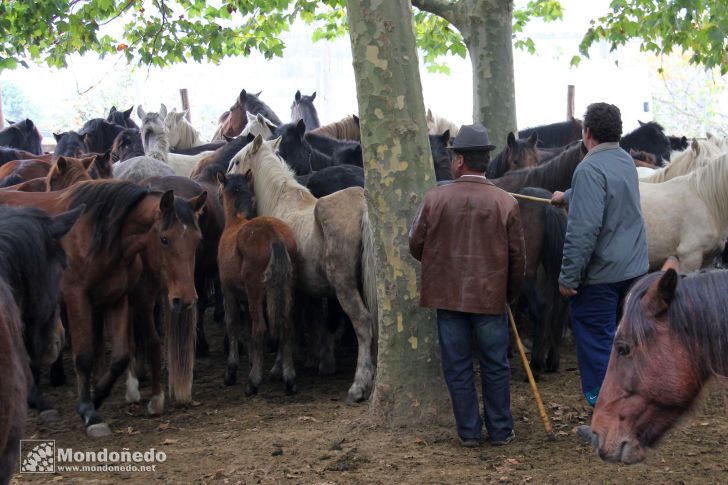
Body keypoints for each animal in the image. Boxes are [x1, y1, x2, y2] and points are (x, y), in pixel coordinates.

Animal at [0, 180, 199, 436]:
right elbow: (84, 356)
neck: (99, 236)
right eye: (164, 239)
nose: (185, 299)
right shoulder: (77, 299)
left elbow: (121, 356)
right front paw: (89, 411)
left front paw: (97, 398)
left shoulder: (117, 299)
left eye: (197, 239)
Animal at [216, 172, 298, 396]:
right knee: (287, 326)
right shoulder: (246, 298)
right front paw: (253, 361)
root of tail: (274, 236)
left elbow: (233, 324)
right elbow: (246, 329)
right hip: (285, 290)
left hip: (254, 293)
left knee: (260, 329)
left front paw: (231, 371)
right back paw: (289, 379)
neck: (236, 221)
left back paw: (253, 382)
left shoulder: (228, 293)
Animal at [226, 134, 376, 402]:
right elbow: (313, 321)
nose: (224, 175)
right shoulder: (309, 290)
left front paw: (278, 368)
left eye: (236, 161)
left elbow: (286, 324)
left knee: (363, 322)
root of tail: (362, 207)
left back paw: (358, 386)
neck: (281, 201)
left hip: (344, 288)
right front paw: (319, 361)